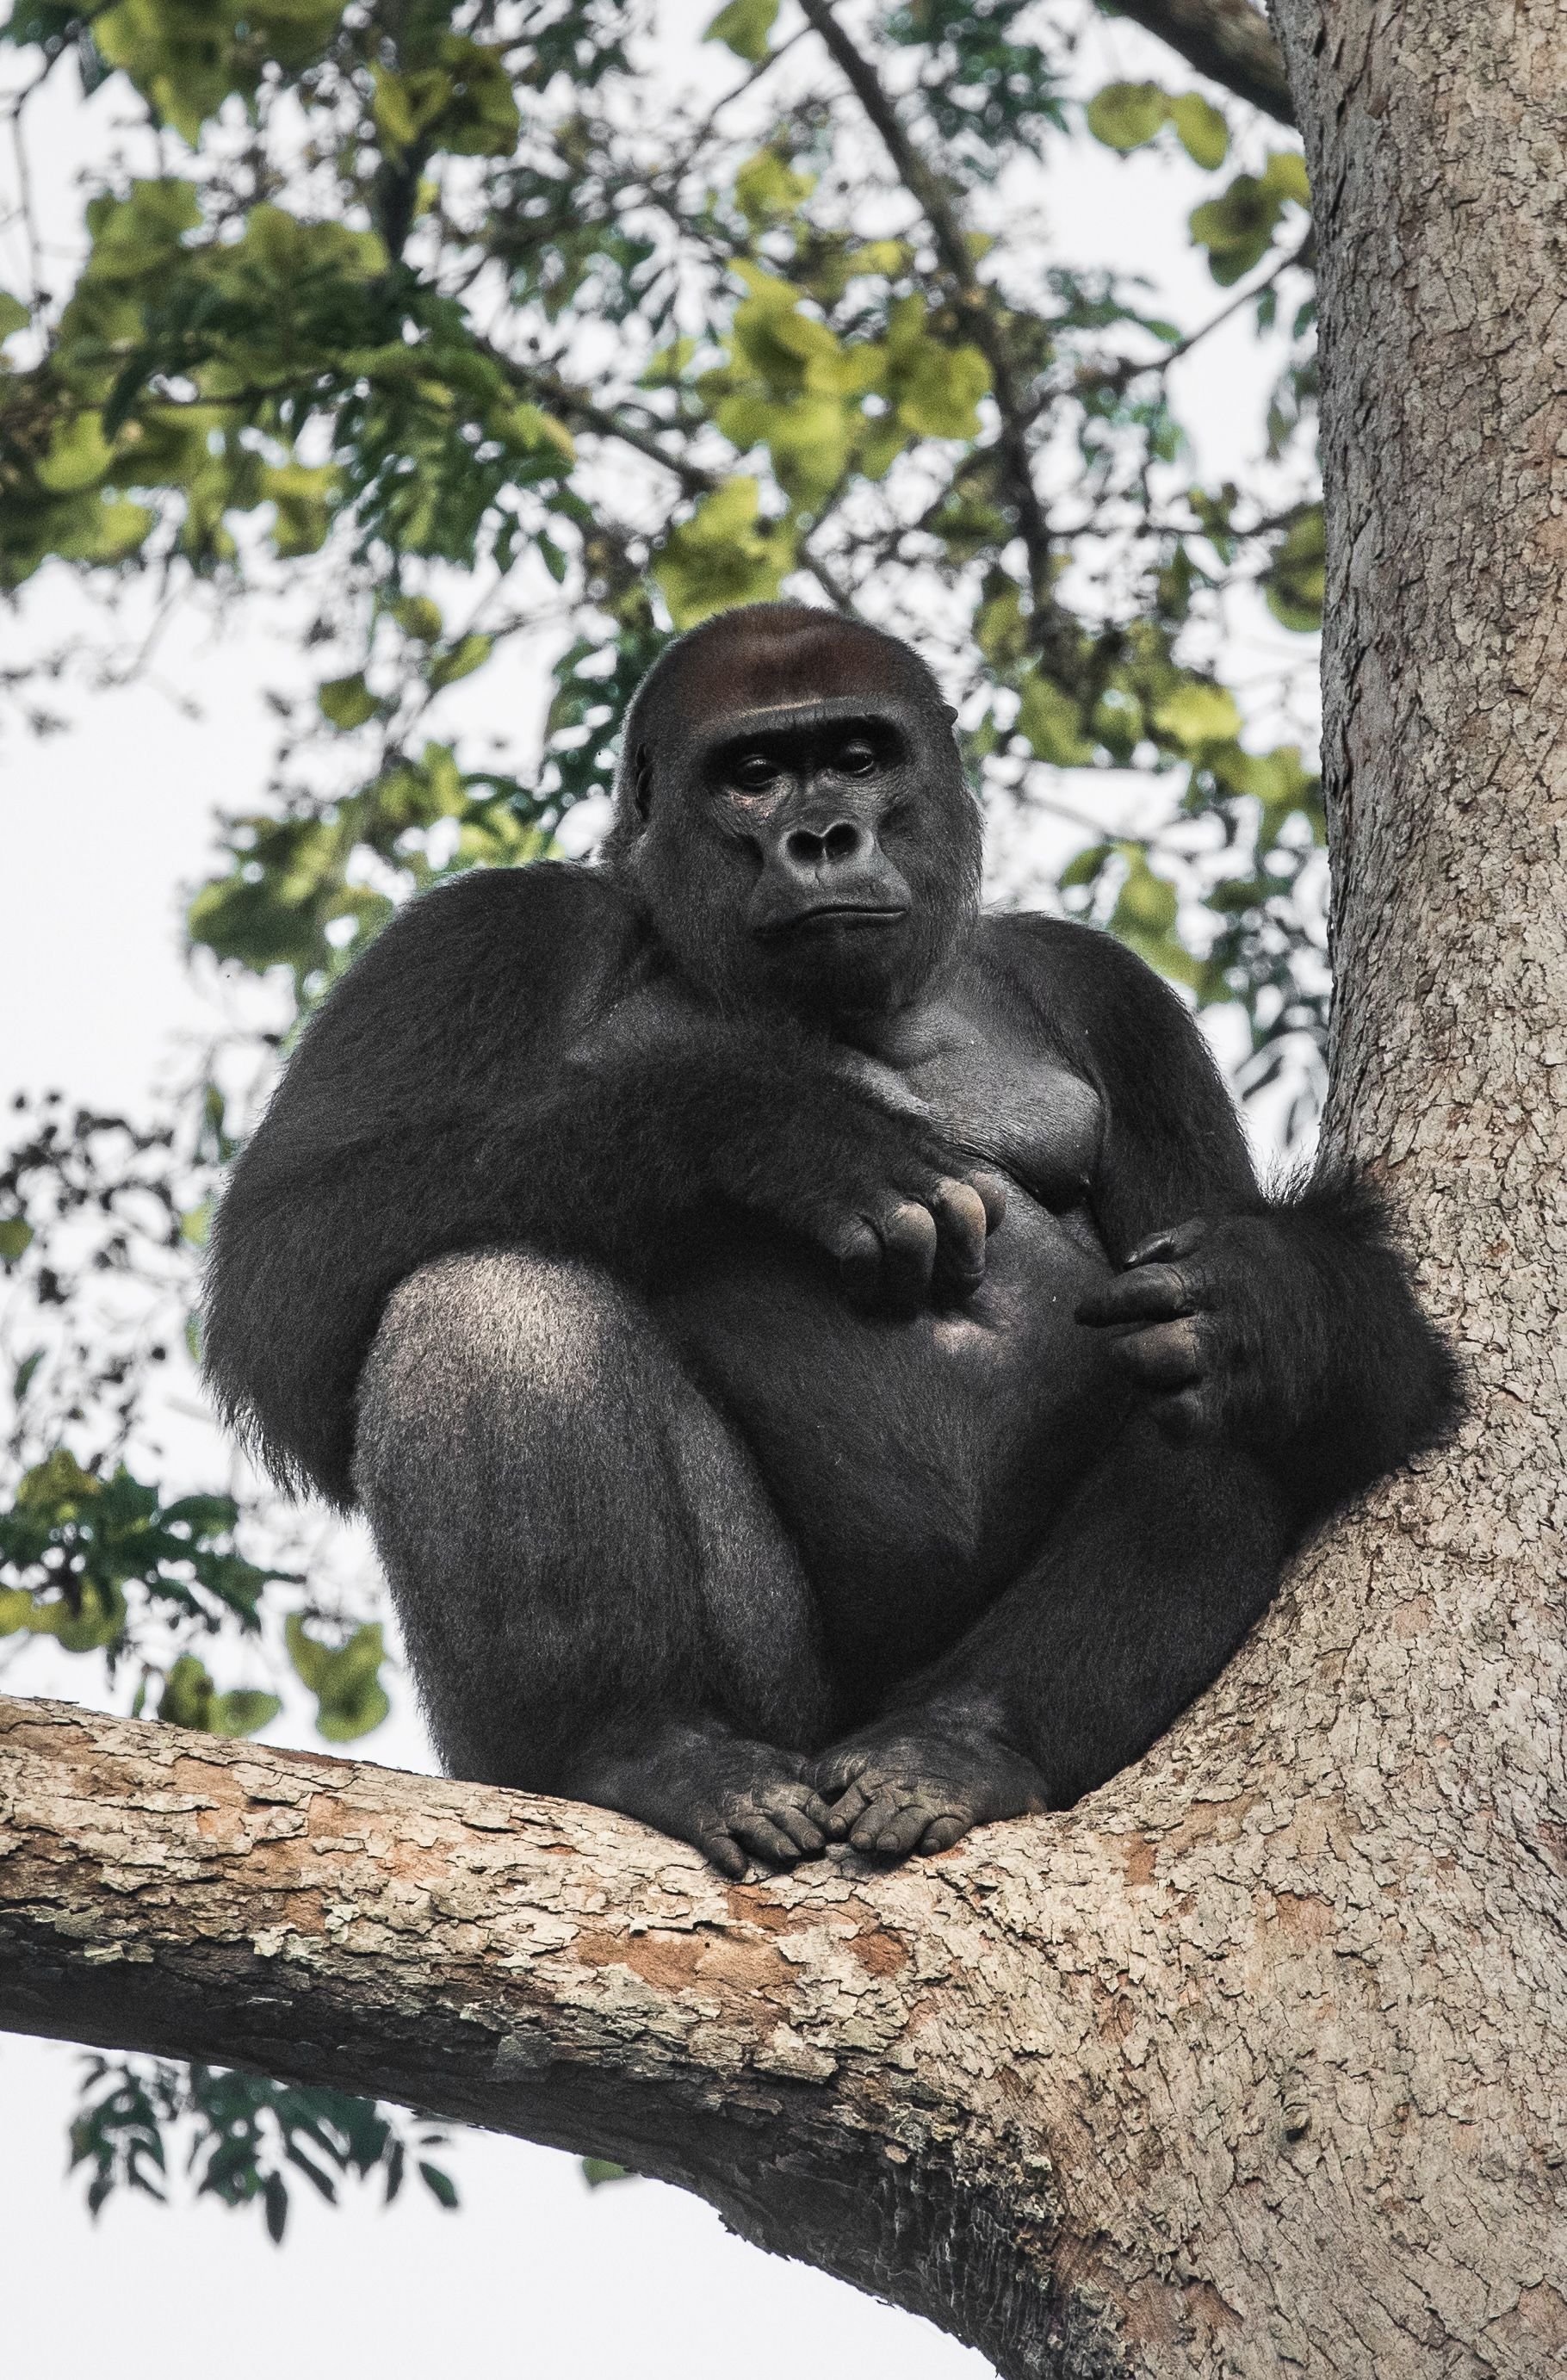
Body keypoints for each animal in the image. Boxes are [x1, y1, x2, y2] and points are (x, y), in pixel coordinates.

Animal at [205, 602, 1461, 1874]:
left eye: (858, 759)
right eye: (754, 775)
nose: (821, 837)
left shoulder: (1111, 997)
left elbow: (1311, 1337)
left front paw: (1280, 1307)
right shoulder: (483, 932)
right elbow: (290, 1257)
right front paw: (768, 1129)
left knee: (1203, 1383)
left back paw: (961, 1743)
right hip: (769, 1716)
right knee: (484, 1287)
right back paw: (635, 1747)